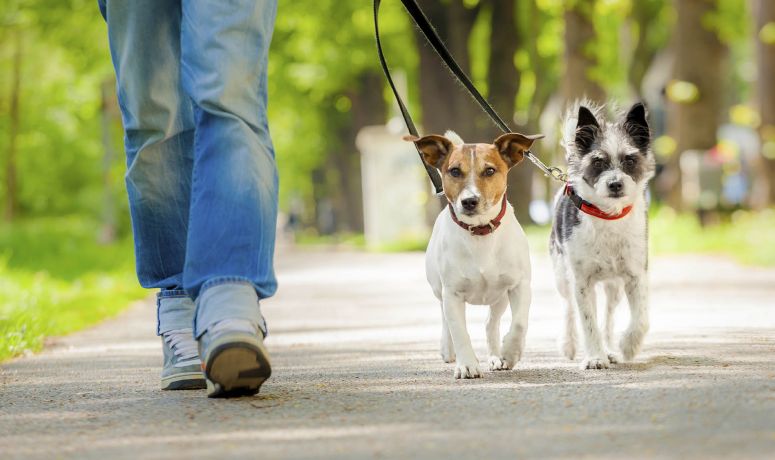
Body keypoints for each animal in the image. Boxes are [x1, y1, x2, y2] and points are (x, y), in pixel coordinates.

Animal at [406, 129, 544, 378]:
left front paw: (510, 353)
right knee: (445, 319)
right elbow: (459, 331)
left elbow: (519, 324)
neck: (480, 232)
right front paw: (467, 364)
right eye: (454, 171)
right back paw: (448, 349)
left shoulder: (519, 286)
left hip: (499, 297)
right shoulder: (452, 293)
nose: (469, 201)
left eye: (489, 171)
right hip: (439, 290)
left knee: (491, 323)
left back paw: (496, 356)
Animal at [552, 100, 656, 370]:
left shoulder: (635, 275)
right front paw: (595, 357)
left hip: (614, 287)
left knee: (608, 317)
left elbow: (642, 319)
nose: (615, 184)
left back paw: (610, 348)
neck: (608, 216)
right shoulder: (581, 282)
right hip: (562, 275)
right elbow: (588, 322)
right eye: (598, 162)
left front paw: (628, 346)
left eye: (630, 160)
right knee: (569, 308)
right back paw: (569, 344)